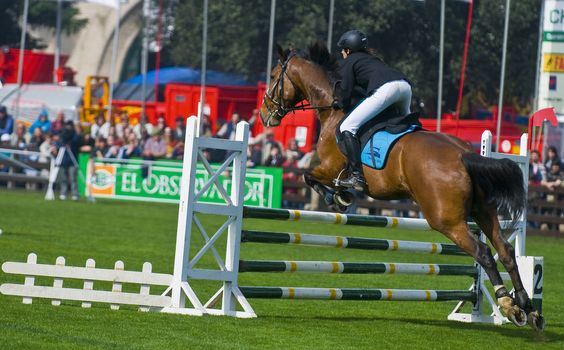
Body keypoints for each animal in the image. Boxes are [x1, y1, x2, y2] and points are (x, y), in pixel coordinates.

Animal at [258, 42, 540, 330]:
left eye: (273, 75)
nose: (264, 115)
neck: (334, 110)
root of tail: (463, 154)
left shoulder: (328, 167)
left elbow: (309, 177)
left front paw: (339, 196)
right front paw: (341, 196)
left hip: (445, 219)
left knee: (483, 252)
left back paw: (507, 304)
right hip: (482, 209)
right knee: (505, 250)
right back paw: (527, 307)